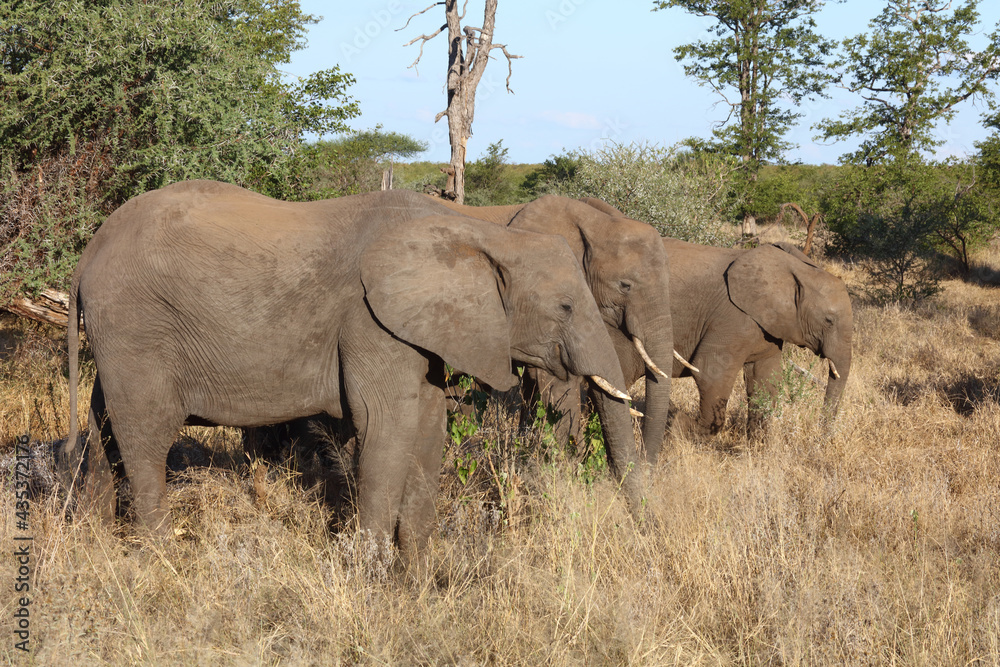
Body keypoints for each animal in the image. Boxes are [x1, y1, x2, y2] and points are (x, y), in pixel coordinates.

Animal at [62, 180, 643, 558]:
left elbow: (427, 427)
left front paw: (417, 578)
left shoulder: (419, 329)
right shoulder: (369, 318)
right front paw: (372, 576)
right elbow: (386, 425)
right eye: (565, 306)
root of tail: (88, 255)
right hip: (136, 327)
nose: (644, 530)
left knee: (102, 431)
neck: (477, 232)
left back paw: (92, 544)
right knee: (144, 437)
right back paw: (160, 562)